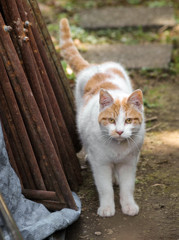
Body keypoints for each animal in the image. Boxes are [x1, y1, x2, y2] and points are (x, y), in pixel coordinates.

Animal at [59, 18, 145, 218]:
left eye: (128, 120)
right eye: (111, 120)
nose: (119, 131)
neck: (118, 148)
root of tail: (93, 66)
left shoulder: (129, 163)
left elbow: (127, 187)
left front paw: (128, 206)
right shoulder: (101, 164)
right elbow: (105, 188)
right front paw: (106, 208)